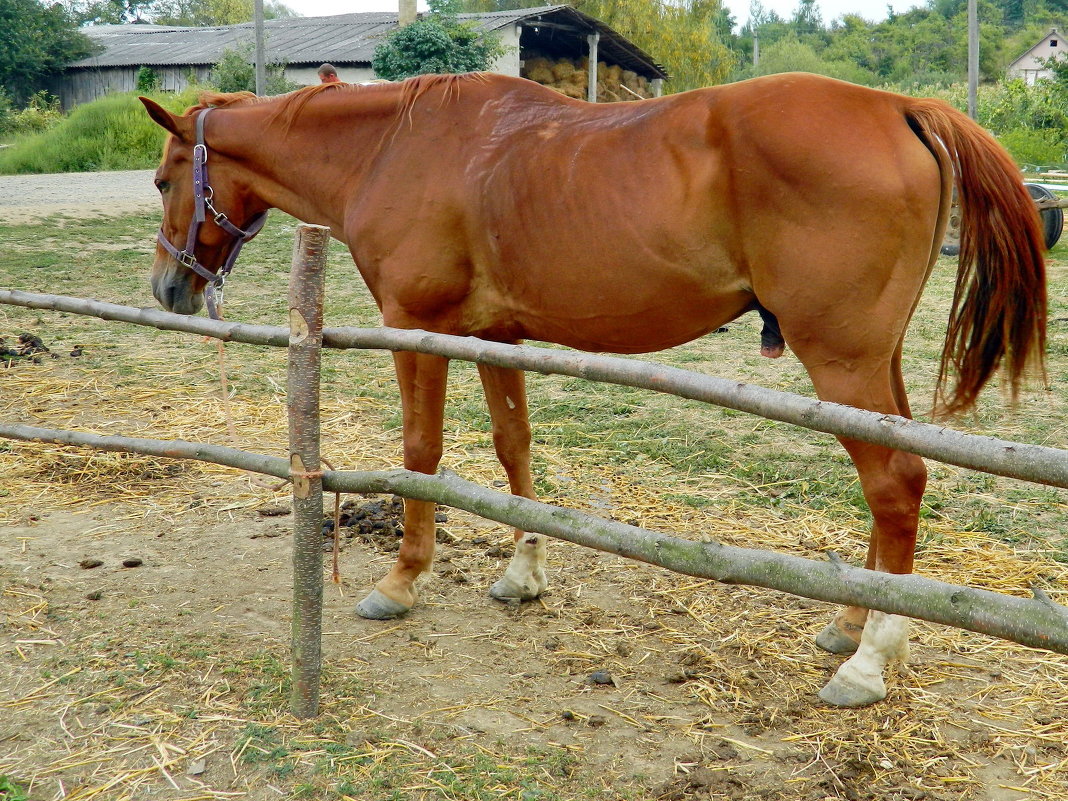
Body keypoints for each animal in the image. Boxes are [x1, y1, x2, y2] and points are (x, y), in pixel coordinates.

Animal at [139, 70, 1042, 709]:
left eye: (163, 178)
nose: (169, 287)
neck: (394, 148)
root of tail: (900, 107)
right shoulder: (494, 335)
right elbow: (512, 446)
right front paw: (523, 573)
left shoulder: (415, 327)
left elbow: (421, 451)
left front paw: (402, 580)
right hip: (870, 363)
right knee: (894, 479)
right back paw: (852, 622)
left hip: (844, 357)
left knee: (895, 482)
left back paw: (869, 657)